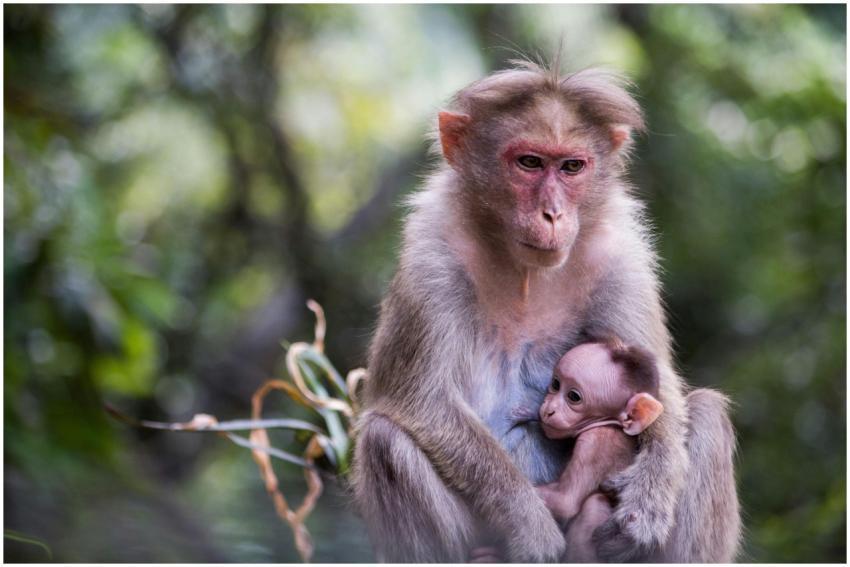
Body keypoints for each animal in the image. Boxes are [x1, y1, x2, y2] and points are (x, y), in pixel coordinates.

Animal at [351, 60, 740, 563]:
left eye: (572, 166)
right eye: (530, 163)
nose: (553, 213)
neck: (524, 271)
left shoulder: (620, 256)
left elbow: (662, 392)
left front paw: (647, 502)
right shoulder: (431, 258)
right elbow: (422, 400)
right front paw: (529, 523)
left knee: (708, 412)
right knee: (385, 439)